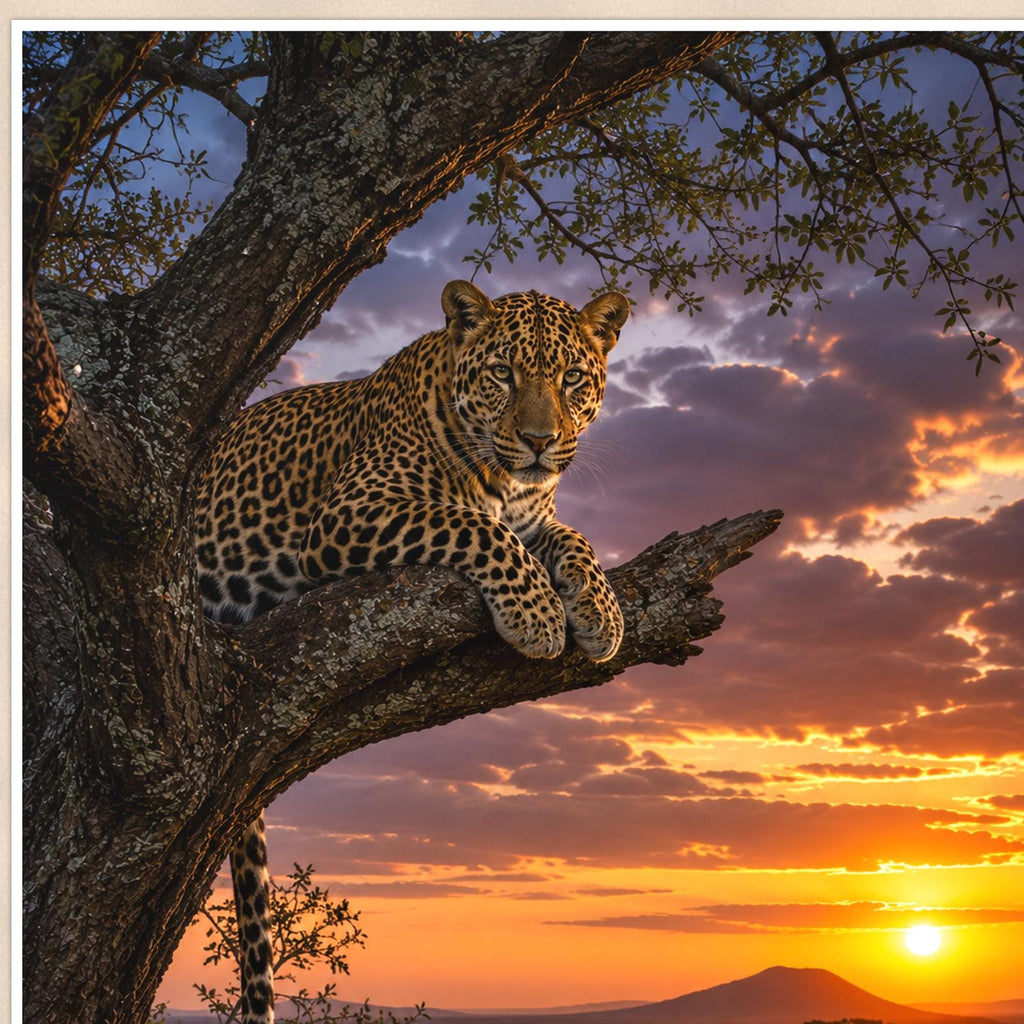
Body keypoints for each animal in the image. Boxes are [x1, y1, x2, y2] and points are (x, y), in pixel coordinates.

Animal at [195, 280, 630, 1024]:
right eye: (503, 373)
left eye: (572, 377)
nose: (540, 441)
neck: (509, 481)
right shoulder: (352, 512)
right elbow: (473, 526)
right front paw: (539, 616)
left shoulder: (537, 517)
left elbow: (573, 538)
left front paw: (601, 614)